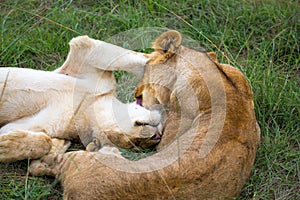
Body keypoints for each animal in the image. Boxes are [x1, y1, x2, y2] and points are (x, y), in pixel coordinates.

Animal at [0, 35, 162, 162]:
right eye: (132, 141)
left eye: (139, 144)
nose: (157, 135)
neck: (87, 105)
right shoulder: (84, 50)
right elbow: (138, 62)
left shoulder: (25, 126)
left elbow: (45, 141)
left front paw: (4, 145)